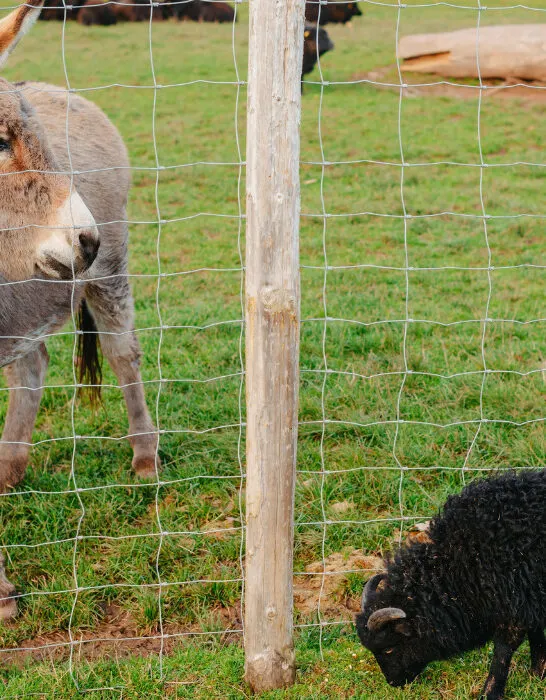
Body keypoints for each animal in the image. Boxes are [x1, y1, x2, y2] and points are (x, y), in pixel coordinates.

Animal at [356, 469, 546, 700]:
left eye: (388, 648)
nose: (394, 683)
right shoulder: (529, 599)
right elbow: (536, 633)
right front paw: (538, 673)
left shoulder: (516, 599)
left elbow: (503, 649)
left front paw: (490, 692)